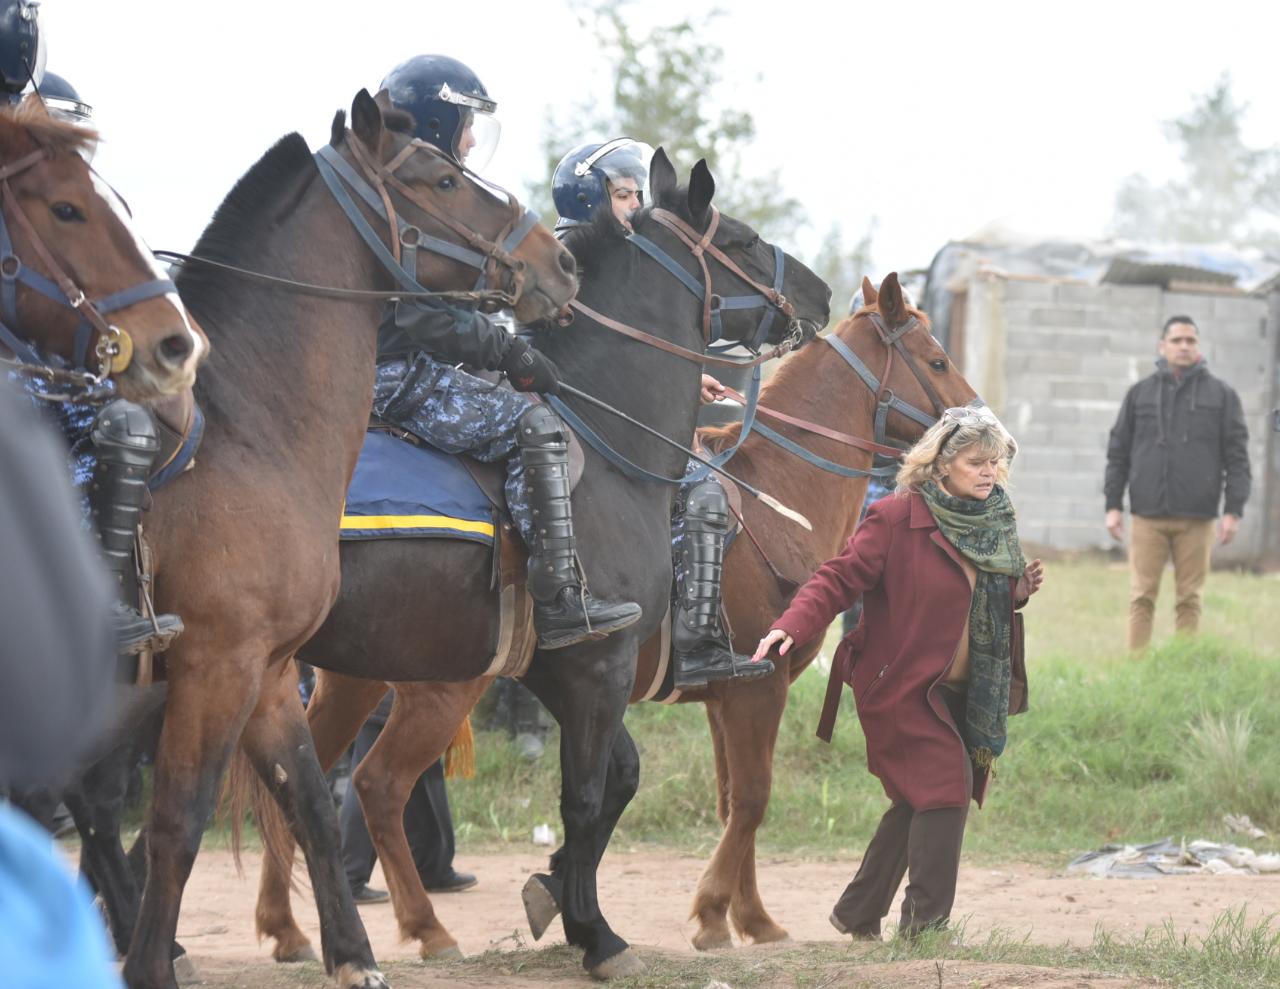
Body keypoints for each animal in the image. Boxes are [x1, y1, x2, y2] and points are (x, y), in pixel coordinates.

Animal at [116, 87, 581, 987]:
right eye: (443, 178)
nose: (559, 261)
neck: (244, 429)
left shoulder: (264, 669)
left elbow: (307, 802)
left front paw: (352, 953)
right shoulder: (215, 665)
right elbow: (177, 822)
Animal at [250, 148, 834, 977]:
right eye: (743, 239)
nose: (820, 293)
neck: (607, 441)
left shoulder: (559, 669)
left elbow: (617, 780)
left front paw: (556, 892)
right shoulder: (601, 665)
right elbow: (585, 797)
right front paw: (596, 932)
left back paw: (289, 928)